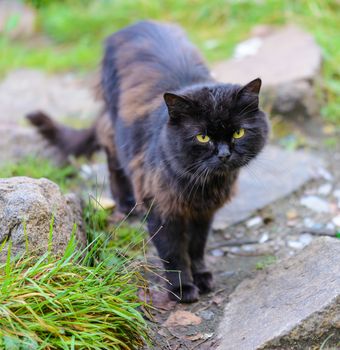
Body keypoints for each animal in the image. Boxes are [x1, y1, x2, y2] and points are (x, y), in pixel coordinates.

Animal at [27, 20, 270, 302]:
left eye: (238, 133)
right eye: (202, 137)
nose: (224, 154)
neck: (202, 184)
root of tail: (135, 24)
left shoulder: (203, 213)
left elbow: (197, 247)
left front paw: (201, 276)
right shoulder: (161, 209)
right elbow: (173, 253)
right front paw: (182, 288)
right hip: (116, 131)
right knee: (114, 161)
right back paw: (125, 203)